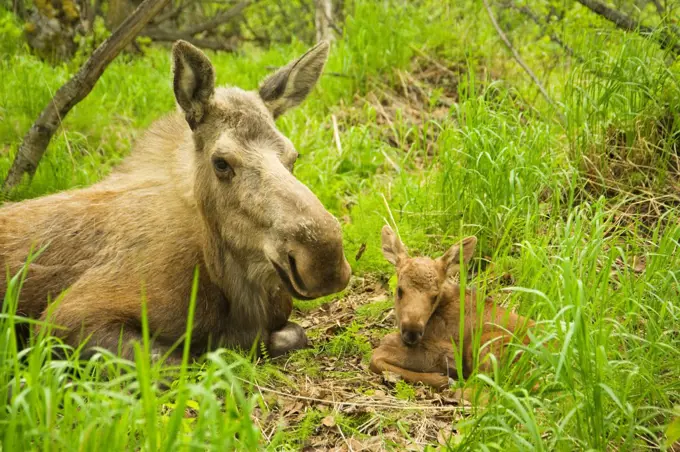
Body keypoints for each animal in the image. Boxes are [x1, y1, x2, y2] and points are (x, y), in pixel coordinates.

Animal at [0, 38, 350, 364]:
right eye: (221, 162)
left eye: (294, 156)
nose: (323, 261)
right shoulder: (63, 318)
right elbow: (169, 364)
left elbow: (292, 334)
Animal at [370, 226, 532, 388]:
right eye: (399, 290)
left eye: (435, 296)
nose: (412, 332)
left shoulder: (449, 352)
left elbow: (376, 355)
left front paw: (442, 378)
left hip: (487, 344)